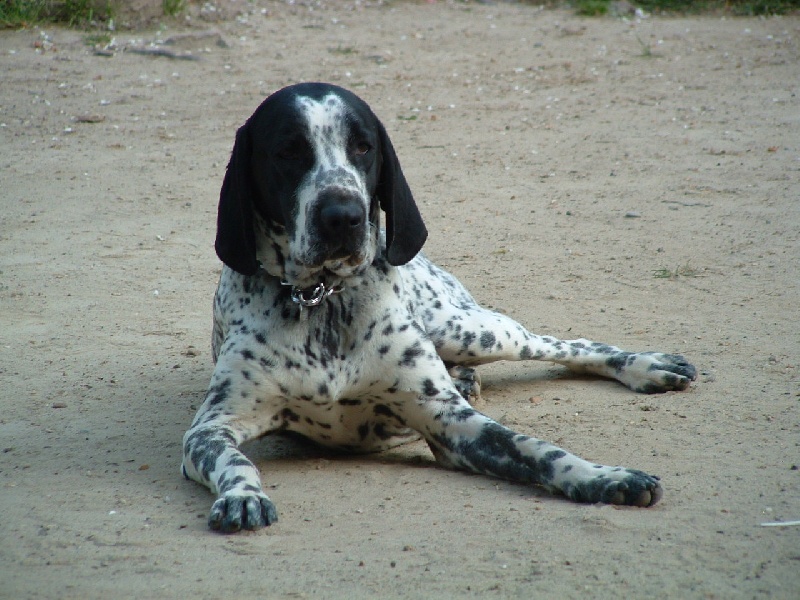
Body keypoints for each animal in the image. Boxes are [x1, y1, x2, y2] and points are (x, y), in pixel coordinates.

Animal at [181, 82, 692, 532]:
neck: (323, 298)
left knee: (566, 345)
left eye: (363, 147)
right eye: (288, 151)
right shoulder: (210, 429)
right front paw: (243, 495)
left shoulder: (450, 420)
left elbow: (539, 449)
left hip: (474, 330)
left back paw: (645, 365)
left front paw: (604, 476)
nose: (344, 216)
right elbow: (234, 462)